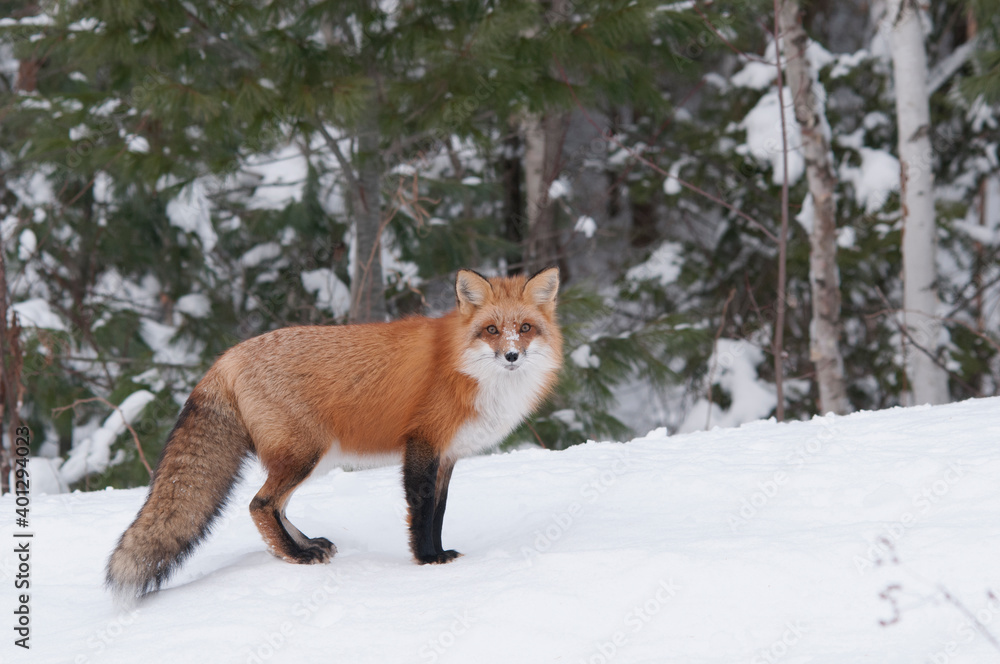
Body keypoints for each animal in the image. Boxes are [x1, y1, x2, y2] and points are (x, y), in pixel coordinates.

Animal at [105, 267, 562, 603]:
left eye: (524, 328)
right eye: (491, 330)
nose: (512, 355)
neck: (464, 369)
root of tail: (226, 357)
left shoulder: (447, 456)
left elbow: (439, 512)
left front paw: (440, 555)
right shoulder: (422, 445)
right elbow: (421, 512)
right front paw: (428, 562)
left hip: (311, 460)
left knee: (277, 506)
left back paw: (305, 545)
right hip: (304, 455)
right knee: (260, 504)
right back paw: (295, 556)